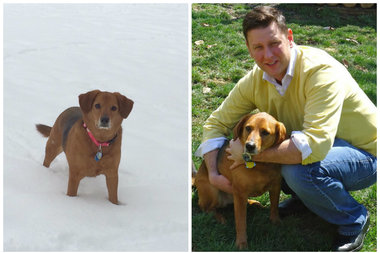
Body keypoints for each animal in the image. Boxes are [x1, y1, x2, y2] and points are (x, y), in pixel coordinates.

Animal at [196, 112, 284, 249]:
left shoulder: (276, 185)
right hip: (213, 192)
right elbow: (241, 221)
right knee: (206, 208)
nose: (249, 146)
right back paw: (220, 217)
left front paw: (275, 221)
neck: (260, 165)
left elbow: (274, 207)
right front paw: (242, 242)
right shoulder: (239, 193)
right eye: (248, 128)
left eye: (265, 132)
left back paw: (254, 203)